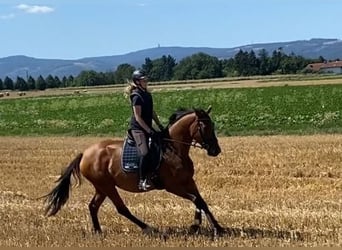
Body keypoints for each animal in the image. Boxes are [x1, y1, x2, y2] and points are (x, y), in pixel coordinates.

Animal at [43, 105, 224, 236]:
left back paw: (98, 231)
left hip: (101, 187)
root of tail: (85, 154)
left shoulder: (188, 181)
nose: (215, 150)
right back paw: (148, 228)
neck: (174, 149)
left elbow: (201, 201)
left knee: (93, 206)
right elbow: (195, 200)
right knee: (121, 208)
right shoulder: (172, 186)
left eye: (213, 124)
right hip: (107, 186)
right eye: (204, 126)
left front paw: (217, 228)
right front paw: (196, 225)